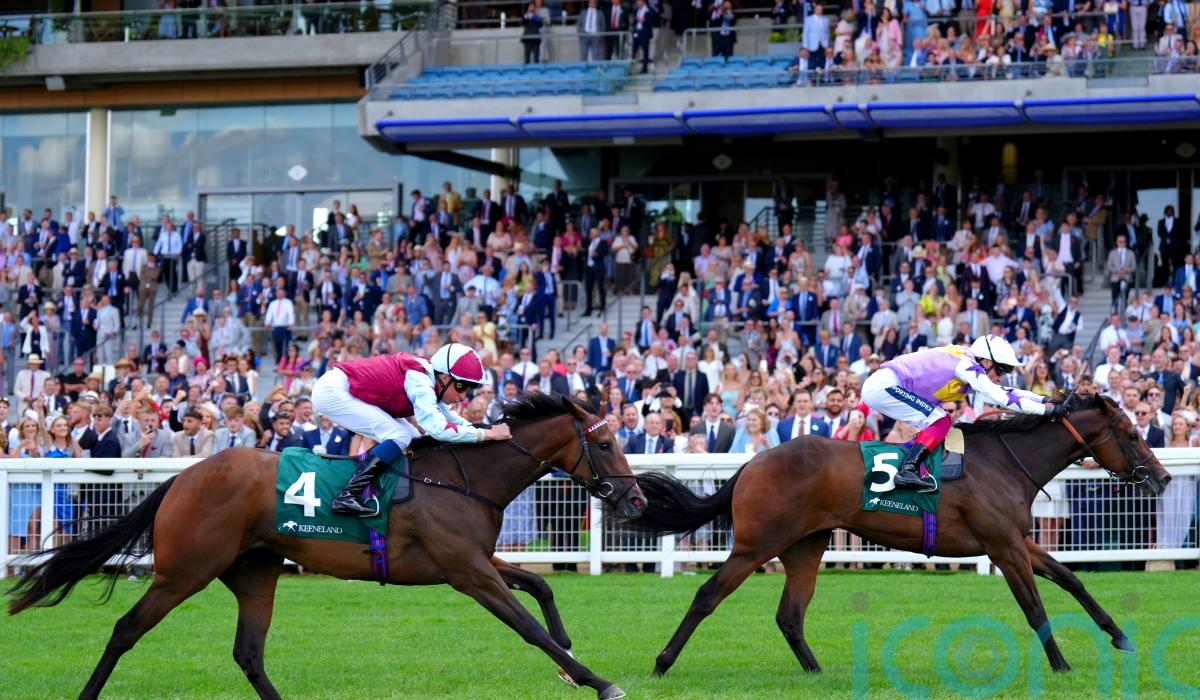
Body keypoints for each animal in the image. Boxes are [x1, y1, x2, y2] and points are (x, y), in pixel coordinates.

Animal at [9, 393, 646, 700]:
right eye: (606, 443)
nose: (637, 501)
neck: (463, 478)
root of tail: (183, 477)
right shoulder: (467, 572)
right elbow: (528, 626)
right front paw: (594, 679)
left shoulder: (474, 561)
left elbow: (539, 585)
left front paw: (570, 659)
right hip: (184, 571)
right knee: (125, 630)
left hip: (254, 571)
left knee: (248, 653)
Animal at [630, 393, 1171, 677]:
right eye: (1131, 434)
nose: (1163, 478)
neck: (1005, 462)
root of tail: (753, 462)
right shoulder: (1003, 547)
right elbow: (1035, 607)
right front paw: (1061, 666)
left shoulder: (1019, 541)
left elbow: (1071, 579)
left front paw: (1120, 636)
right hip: (756, 544)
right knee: (707, 596)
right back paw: (660, 663)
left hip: (806, 544)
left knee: (790, 615)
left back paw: (817, 673)